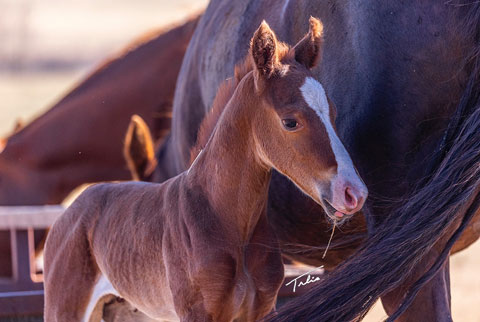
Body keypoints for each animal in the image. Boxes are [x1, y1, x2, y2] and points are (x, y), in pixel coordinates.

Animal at [44, 18, 368, 322]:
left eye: (333, 113)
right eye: (290, 121)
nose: (353, 192)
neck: (225, 218)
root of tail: (70, 214)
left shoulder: (262, 308)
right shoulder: (198, 312)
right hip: (64, 308)